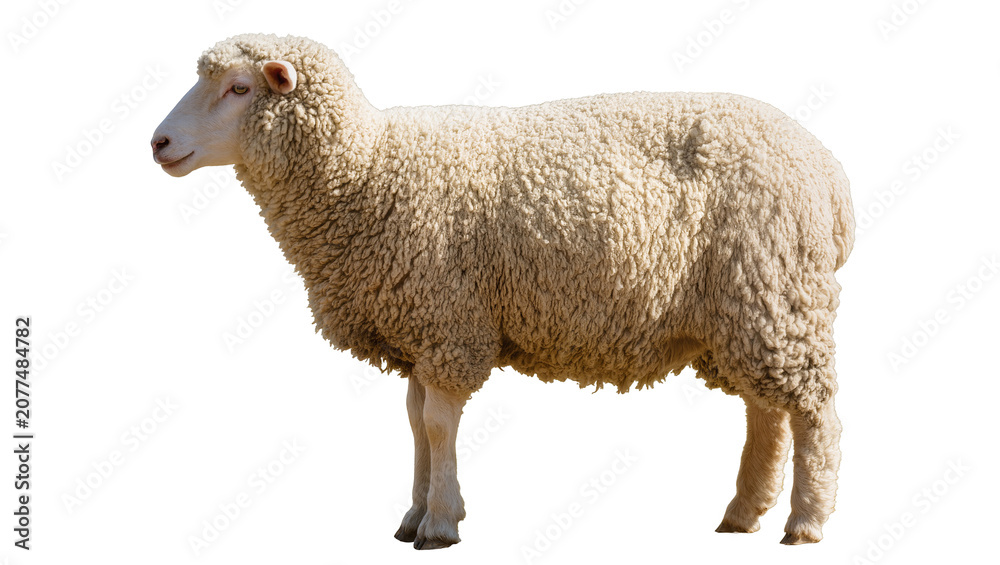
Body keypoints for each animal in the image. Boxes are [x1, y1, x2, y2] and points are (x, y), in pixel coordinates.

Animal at [151, 33, 855, 549]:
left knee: (815, 415)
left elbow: (438, 424)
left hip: (776, 290)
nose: (158, 142)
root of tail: (827, 170)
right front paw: (413, 516)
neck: (366, 169)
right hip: (748, 307)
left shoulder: (448, 321)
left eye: (239, 88)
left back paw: (805, 523)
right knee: (766, 411)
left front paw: (440, 523)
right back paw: (742, 513)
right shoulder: (420, 328)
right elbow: (415, 424)